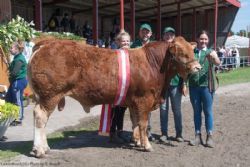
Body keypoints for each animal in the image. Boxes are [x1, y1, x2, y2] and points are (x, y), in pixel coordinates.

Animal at [27, 36, 200, 157]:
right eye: (182, 53)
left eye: (192, 51)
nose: (198, 67)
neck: (155, 65)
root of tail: (47, 42)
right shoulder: (144, 99)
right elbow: (143, 123)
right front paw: (147, 145)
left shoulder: (134, 102)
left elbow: (135, 122)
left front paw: (137, 141)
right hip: (50, 95)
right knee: (40, 117)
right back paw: (39, 150)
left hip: (44, 96)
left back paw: (45, 147)